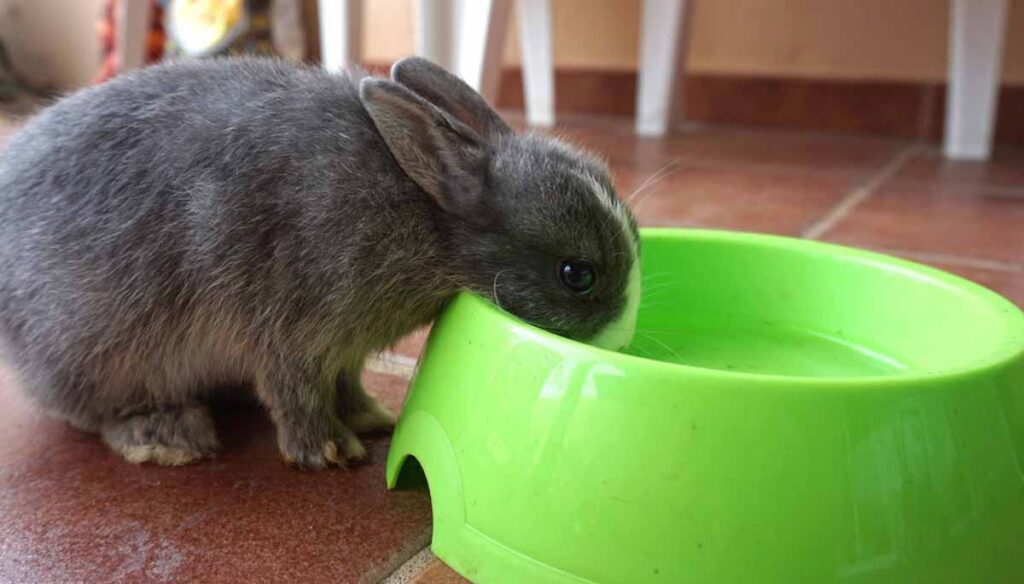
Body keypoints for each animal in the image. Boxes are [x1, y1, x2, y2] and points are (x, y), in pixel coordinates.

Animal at [0, 55, 638, 469]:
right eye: (577, 275)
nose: (623, 338)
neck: (431, 217)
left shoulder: (344, 347)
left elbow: (345, 381)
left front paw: (370, 417)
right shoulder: (290, 332)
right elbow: (295, 392)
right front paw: (327, 450)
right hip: (96, 347)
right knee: (91, 412)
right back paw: (169, 436)